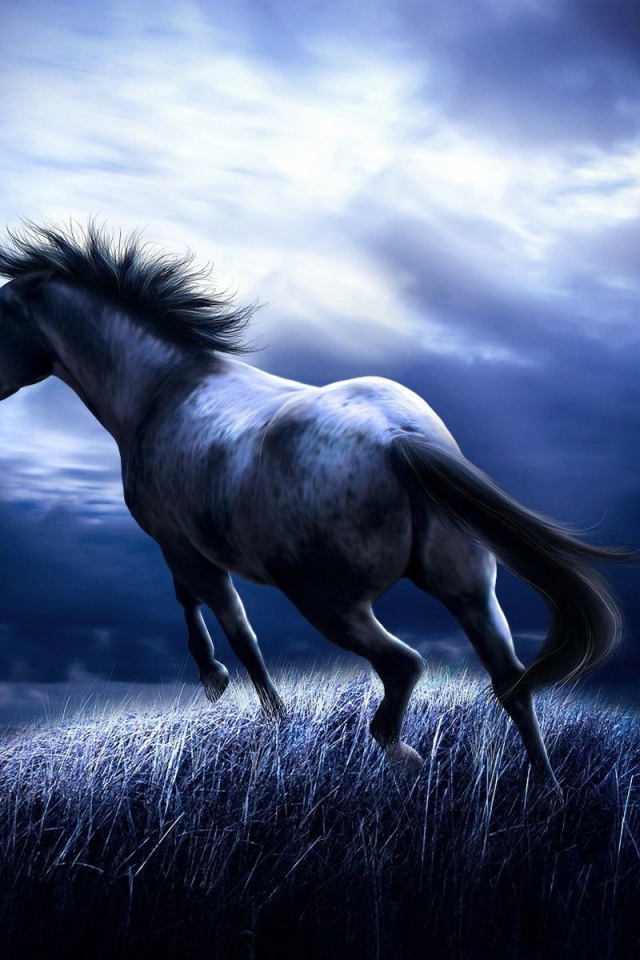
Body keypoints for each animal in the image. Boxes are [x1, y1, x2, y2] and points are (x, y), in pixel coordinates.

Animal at [0, 221, 627, 794]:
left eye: (0, 311)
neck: (160, 388)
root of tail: (400, 440)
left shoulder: (183, 547)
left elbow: (233, 627)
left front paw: (247, 701)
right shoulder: (189, 551)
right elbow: (207, 611)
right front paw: (230, 690)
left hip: (329, 602)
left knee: (406, 666)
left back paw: (404, 755)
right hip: (469, 588)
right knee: (511, 682)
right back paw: (546, 789)